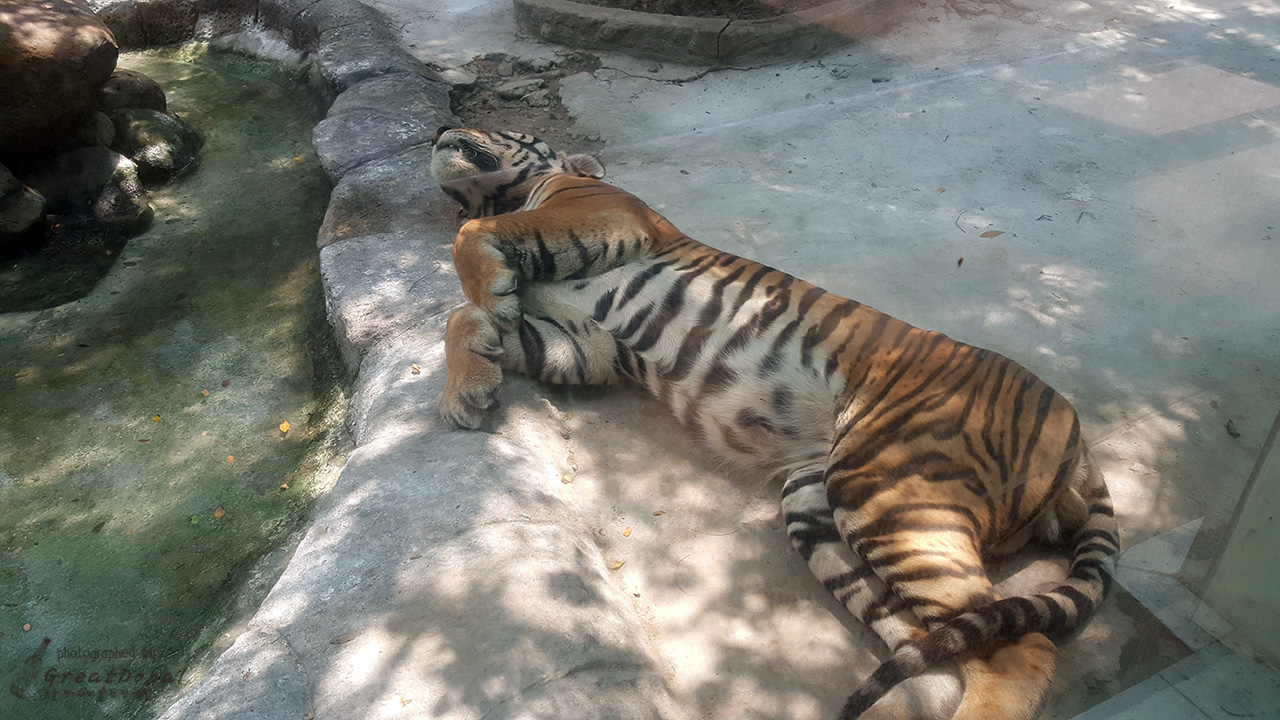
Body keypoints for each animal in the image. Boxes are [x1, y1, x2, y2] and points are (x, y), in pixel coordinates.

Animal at [429, 126, 1119, 720]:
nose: (438, 129)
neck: (530, 187)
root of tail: (1080, 440)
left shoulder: (605, 216)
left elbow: (472, 239)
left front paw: (488, 299)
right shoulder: (585, 342)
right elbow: (465, 318)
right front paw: (470, 387)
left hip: (891, 489)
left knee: (1021, 647)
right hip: (821, 507)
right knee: (944, 638)